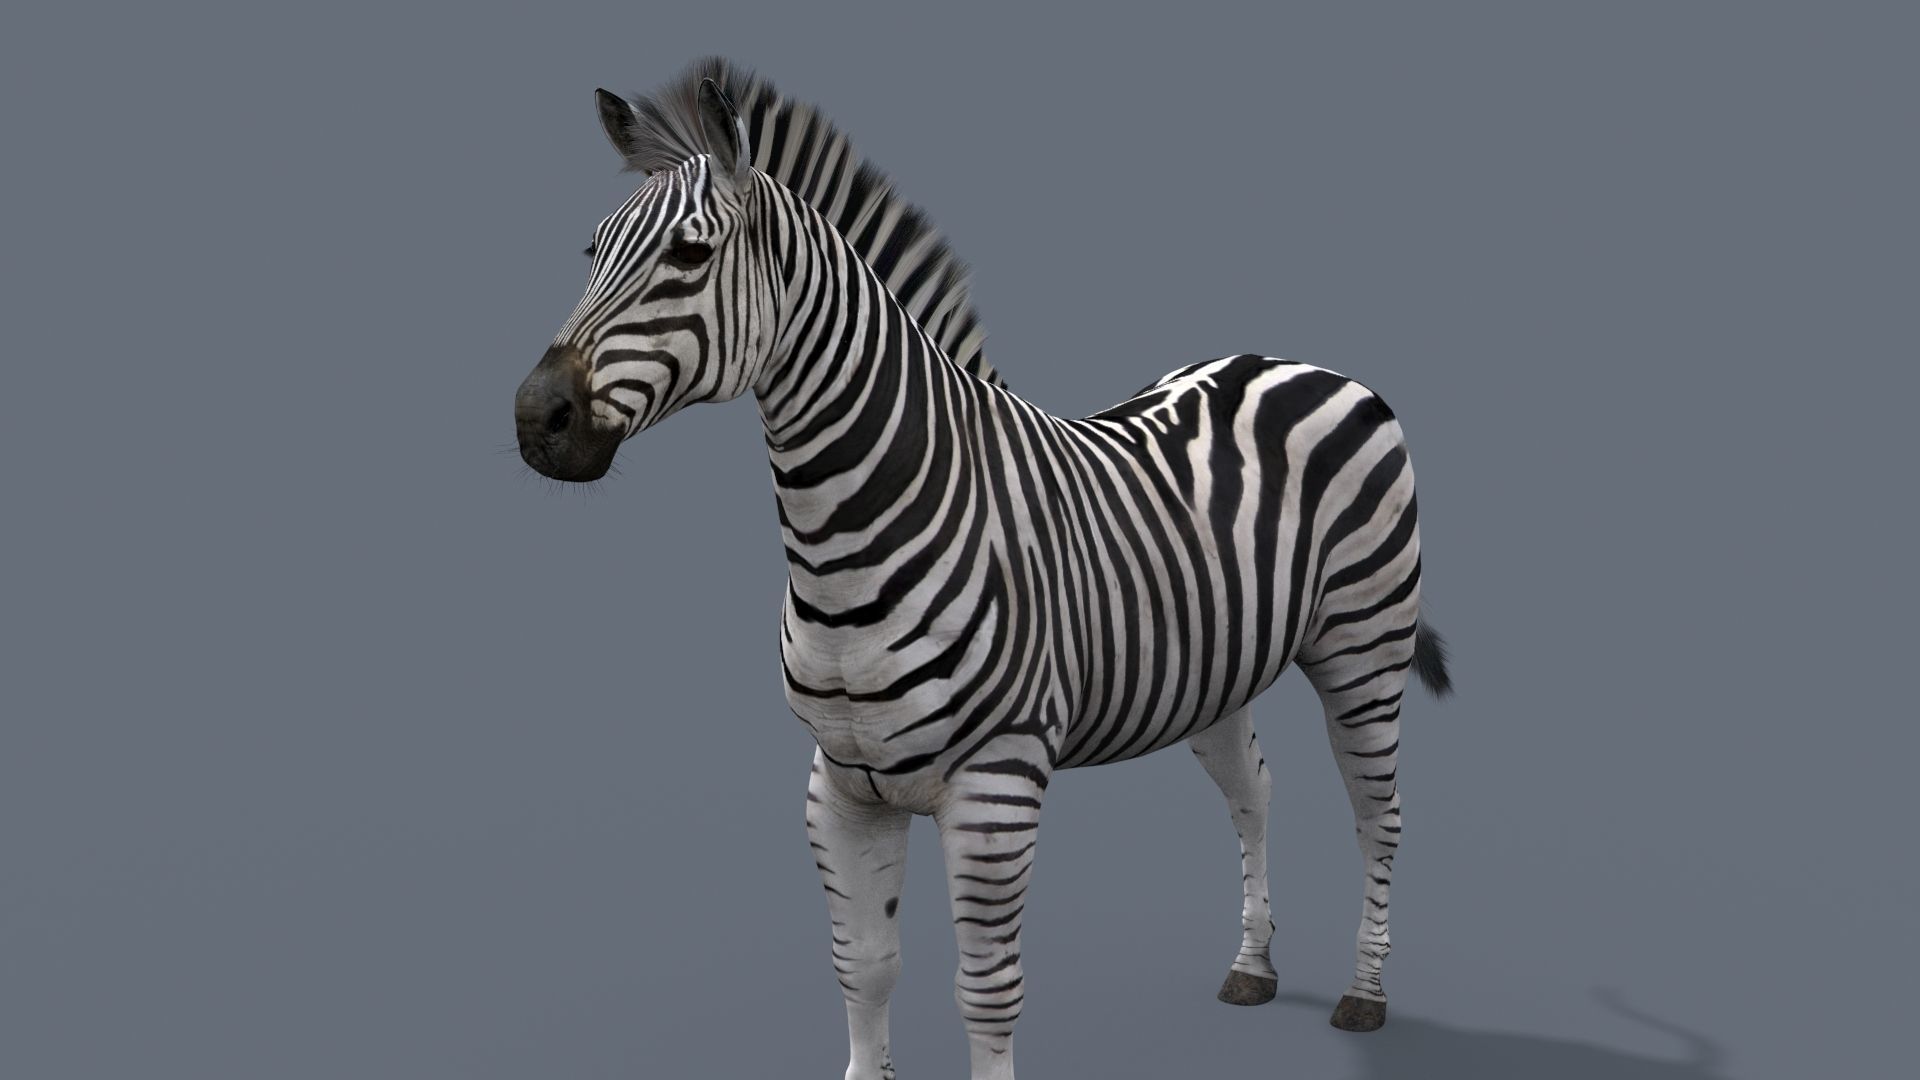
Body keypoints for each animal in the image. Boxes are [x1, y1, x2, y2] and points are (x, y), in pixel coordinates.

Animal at [513, 59, 1452, 1080]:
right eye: (592, 250)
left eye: (689, 255)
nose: (533, 418)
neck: (844, 542)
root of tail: (1304, 365)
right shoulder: (840, 785)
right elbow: (864, 968)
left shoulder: (996, 781)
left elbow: (987, 992)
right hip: (1215, 670)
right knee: (1255, 794)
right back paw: (1252, 967)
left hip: (1363, 649)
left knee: (1379, 812)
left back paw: (1364, 995)